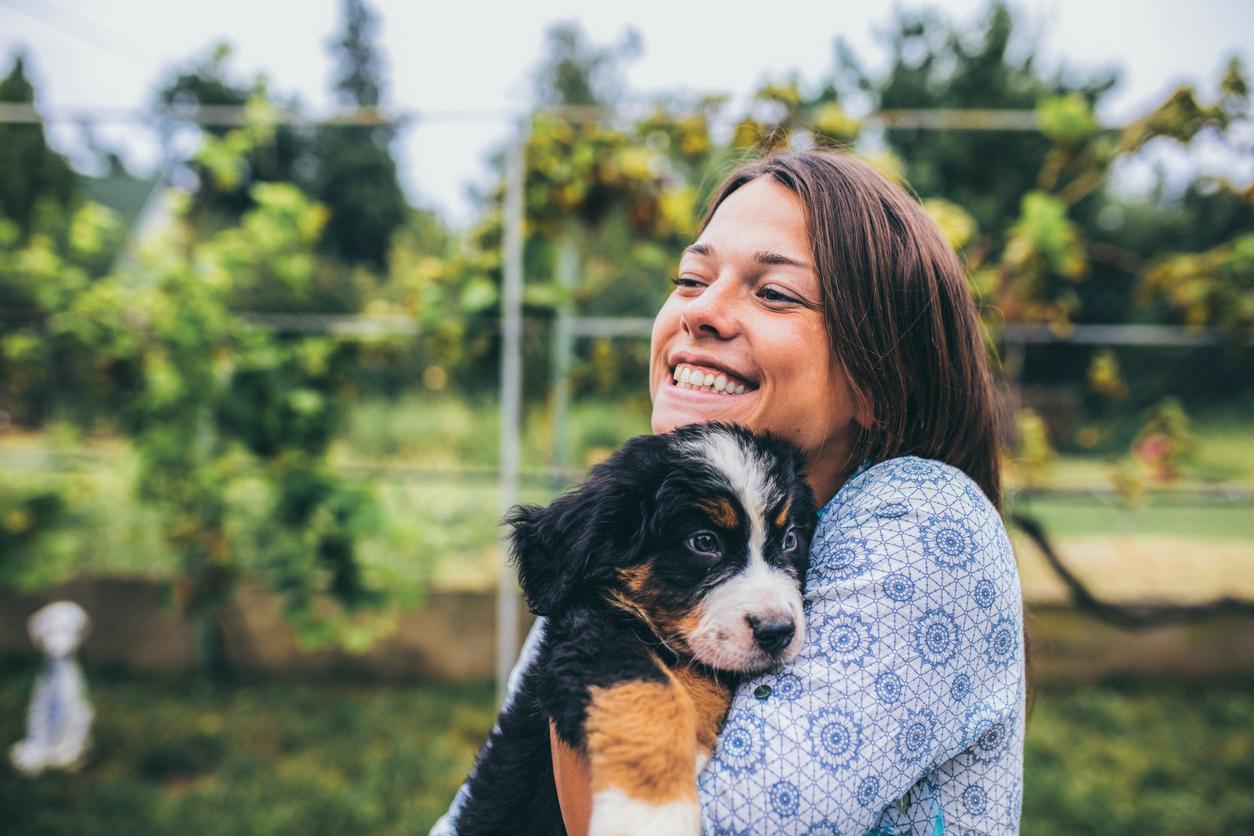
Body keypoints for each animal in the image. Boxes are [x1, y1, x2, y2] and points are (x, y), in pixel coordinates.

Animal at [456, 426, 817, 836]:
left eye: (789, 539)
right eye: (704, 542)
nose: (778, 630)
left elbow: (703, 672)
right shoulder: (590, 636)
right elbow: (649, 690)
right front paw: (651, 811)